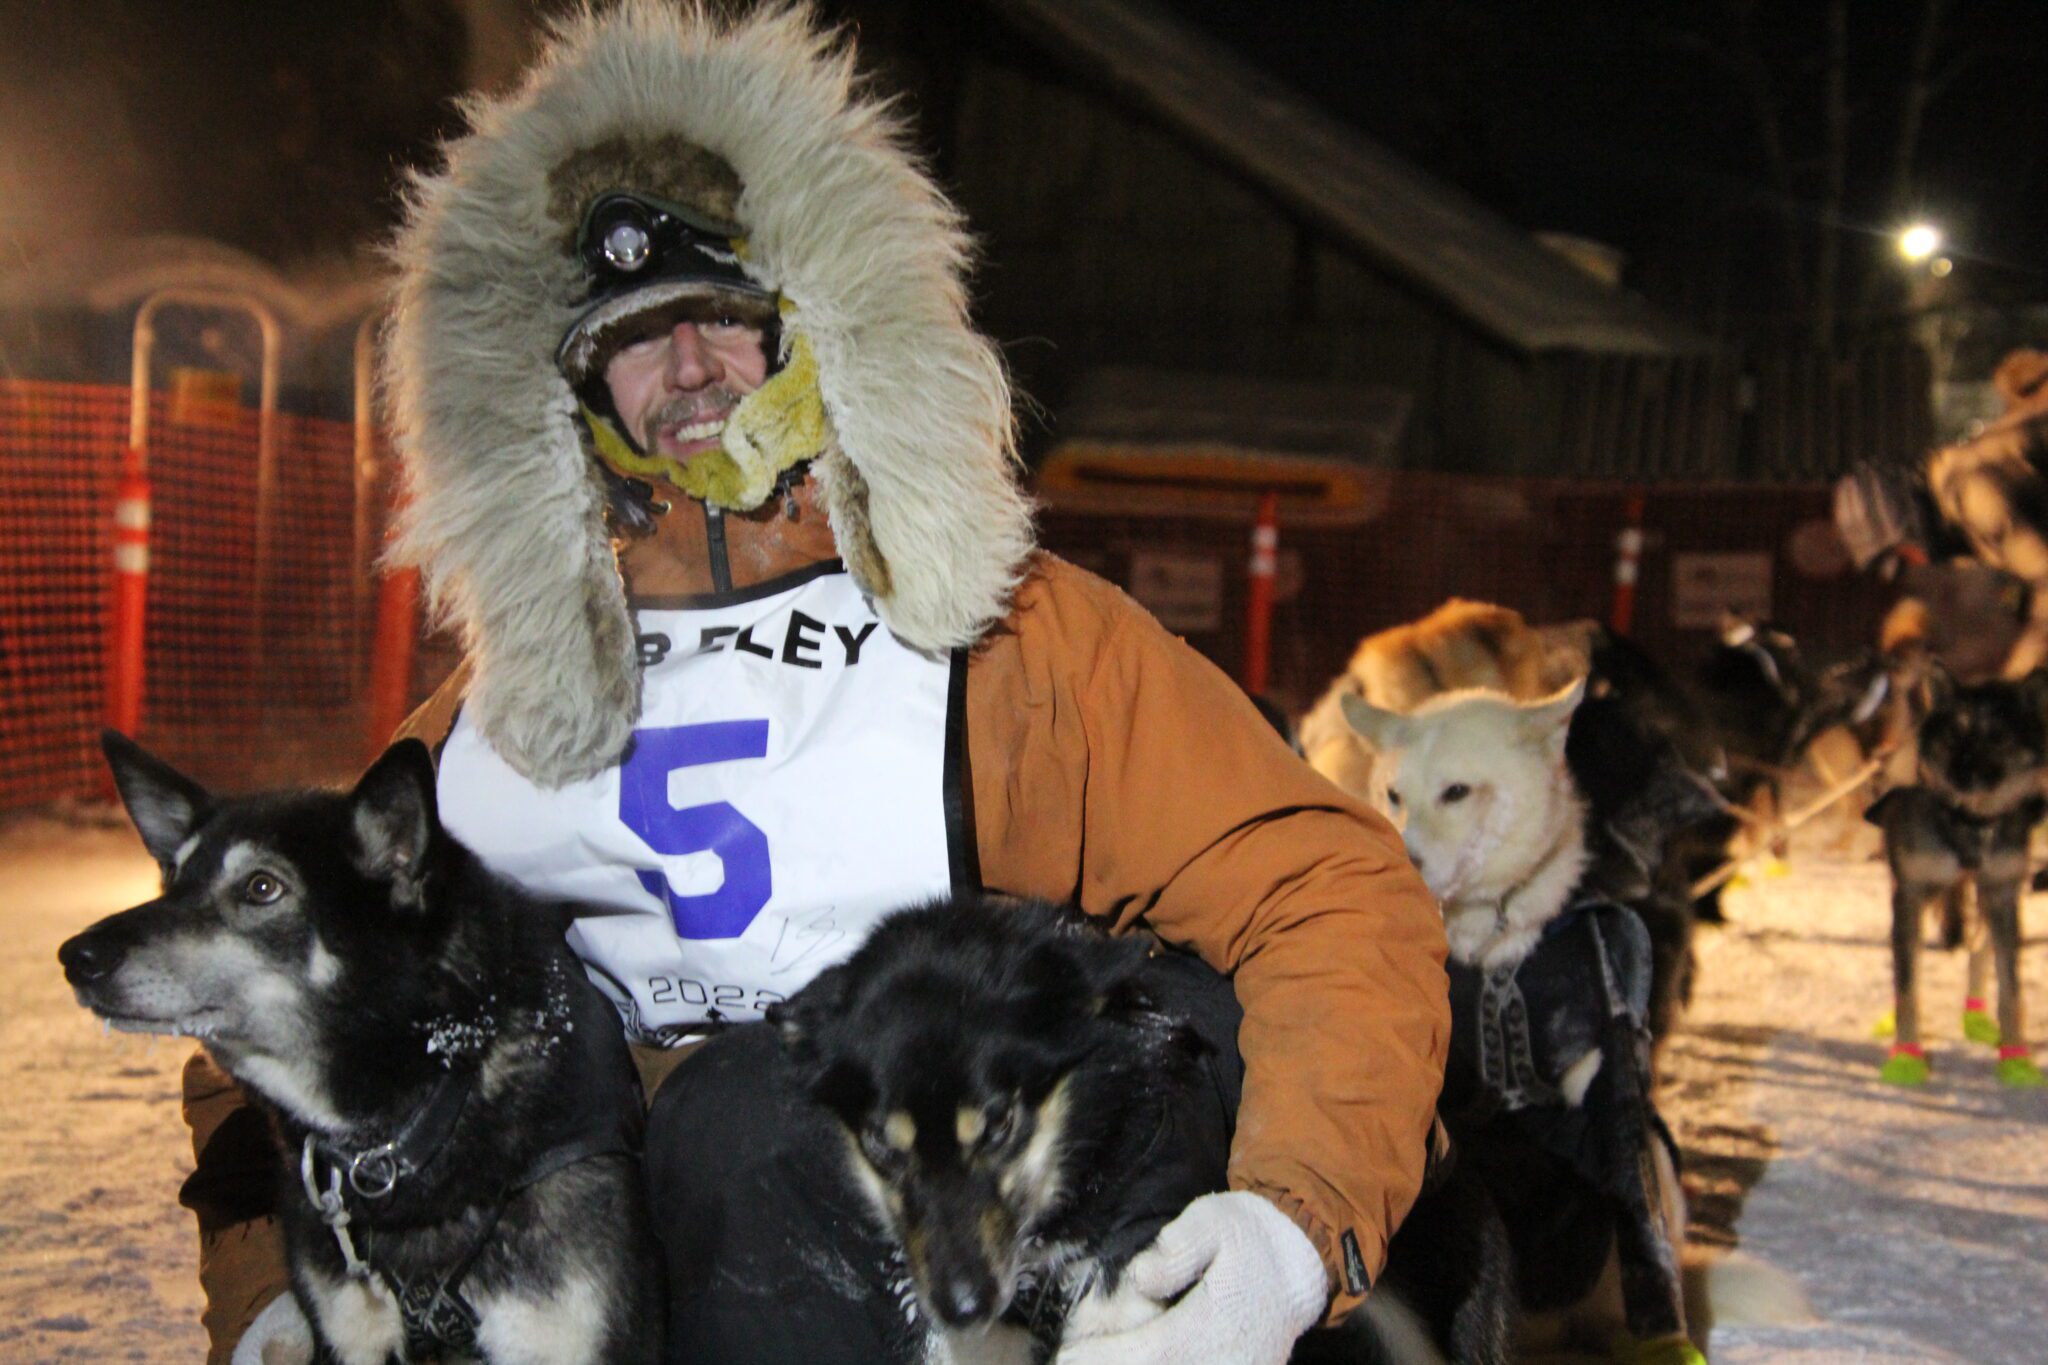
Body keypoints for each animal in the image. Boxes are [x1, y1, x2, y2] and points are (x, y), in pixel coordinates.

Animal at [1875, 663, 2048, 1088]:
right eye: (1955, 732)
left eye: (1999, 738)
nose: (1961, 773)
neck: (1968, 821)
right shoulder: (1910, 893)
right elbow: (1907, 985)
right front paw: (1907, 1055)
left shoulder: (2002, 892)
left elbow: (2011, 987)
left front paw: (2016, 1055)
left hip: (1990, 898)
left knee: (1979, 948)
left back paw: (1976, 1014)